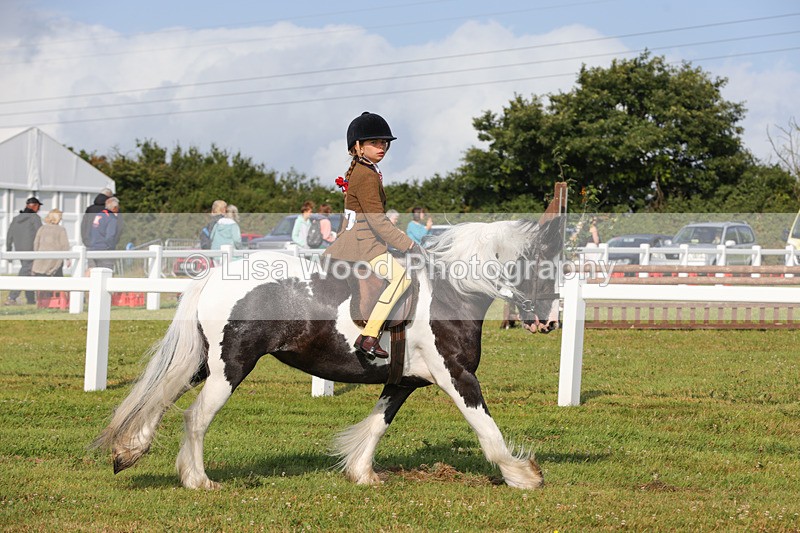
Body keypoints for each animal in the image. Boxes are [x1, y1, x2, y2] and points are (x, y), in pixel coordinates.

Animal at [93, 215, 565, 490]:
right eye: (546, 266)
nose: (549, 321)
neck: (453, 292)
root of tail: (213, 276)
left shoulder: (404, 381)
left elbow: (376, 425)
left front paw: (362, 474)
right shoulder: (458, 377)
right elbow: (488, 430)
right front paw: (524, 475)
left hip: (204, 363)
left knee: (161, 396)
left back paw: (129, 451)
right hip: (231, 367)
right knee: (195, 417)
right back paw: (198, 481)